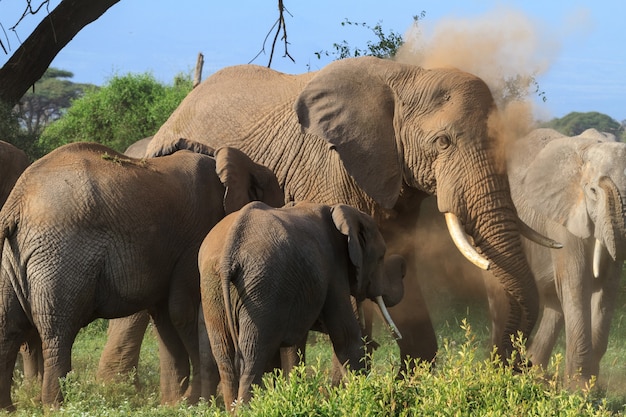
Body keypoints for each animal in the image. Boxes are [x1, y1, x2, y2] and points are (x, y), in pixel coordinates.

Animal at [0, 141, 280, 412]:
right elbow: (182, 311)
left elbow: (165, 318)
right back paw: (56, 407)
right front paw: (194, 401)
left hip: (13, 257)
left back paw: (9, 409)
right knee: (57, 331)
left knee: (8, 328)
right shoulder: (196, 236)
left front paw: (175, 404)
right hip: (60, 255)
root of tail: (16, 203)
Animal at [200, 200, 402, 408]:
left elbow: (293, 345)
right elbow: (346, 335)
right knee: (252, 356)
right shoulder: (333, 266)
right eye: (381, 257)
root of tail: (228, 256)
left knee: (225, 358)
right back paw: (248, 408)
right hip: (263, 287)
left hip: (212, 287)